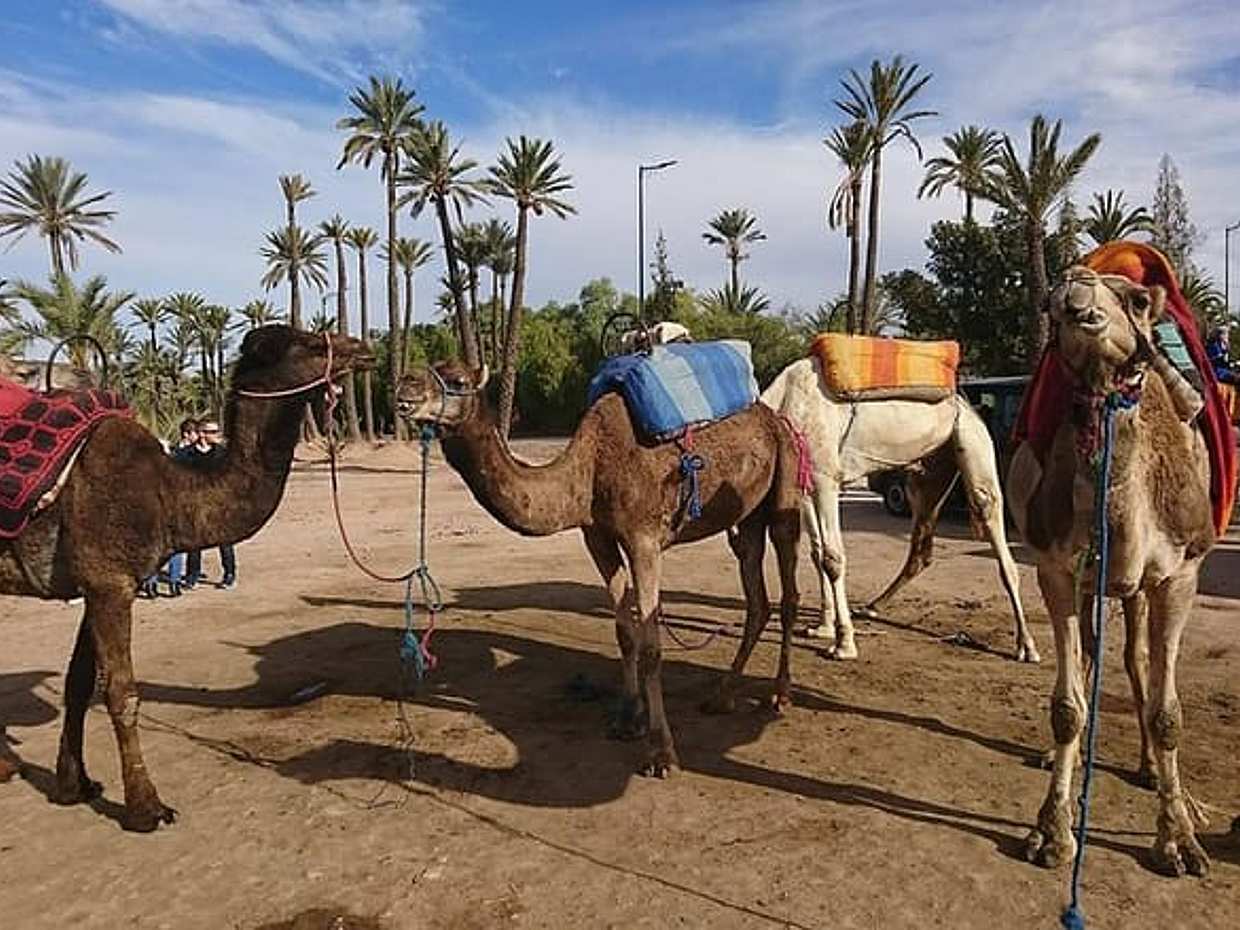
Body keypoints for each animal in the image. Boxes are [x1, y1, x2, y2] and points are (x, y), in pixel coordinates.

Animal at [0, 325, 370, 831]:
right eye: (313, 344)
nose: (363, 349)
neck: (169, 493)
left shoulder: (95, 582)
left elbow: (78, 685)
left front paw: (74, 786)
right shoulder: (110, 582)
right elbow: (122, 693)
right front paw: (146, 808)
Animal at [395, 361, 803, 776]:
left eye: (458, 381)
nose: (404, 388)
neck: (589, 471)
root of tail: (775, 419)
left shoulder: (643, 540)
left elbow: (652, 646)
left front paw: (661, 753)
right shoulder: (598, 538)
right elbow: (625, 633)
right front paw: (627, 719)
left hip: (786, 483)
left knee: (788, 590)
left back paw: (780, 694)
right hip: (746, 515)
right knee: (756, 595)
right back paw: (721, 697)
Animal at [760, 356, 1038, 662]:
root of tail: (967, 404)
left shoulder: (825, 476)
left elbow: (833, 558)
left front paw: (844, 644)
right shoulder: (805, 482)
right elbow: (817, 552)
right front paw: (823, 627)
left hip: (971, 439)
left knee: (990, 515)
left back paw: (1027, 646)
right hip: (927, 474)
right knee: (921, 547)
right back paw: (871, 606)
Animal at [1008, 267, 1216, 877]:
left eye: (1138, 299)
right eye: (1050, 304)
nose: (1076, 294)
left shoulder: (1180, 575)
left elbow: (1169, 712)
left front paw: (1178, 840)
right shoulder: (1056, 569)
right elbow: (1067, 706)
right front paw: (1051, 833)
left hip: (1138, 587)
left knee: (1136, 659)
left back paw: (1151, 770)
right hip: (1095, 585)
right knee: (1096, 657)